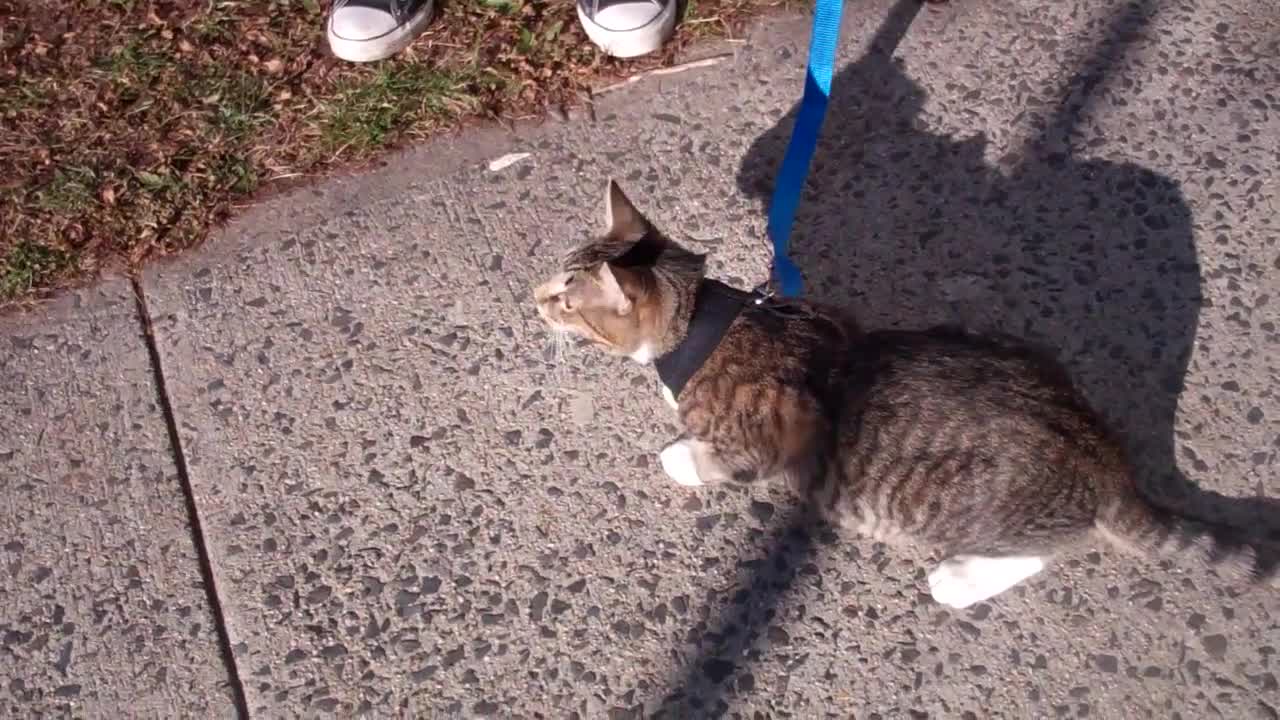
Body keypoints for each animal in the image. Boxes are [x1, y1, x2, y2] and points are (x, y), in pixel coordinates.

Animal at [529, 179, 1269, 604]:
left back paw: (961, 579)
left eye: (566, 299)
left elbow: (706, 456)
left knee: (1046, 550)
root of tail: (1107, 463)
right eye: (553, 280)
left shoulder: (766, 437)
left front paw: (679, 451)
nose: (532, 298)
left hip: (974, 511)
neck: (705, 323)